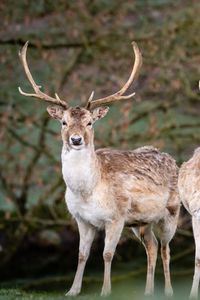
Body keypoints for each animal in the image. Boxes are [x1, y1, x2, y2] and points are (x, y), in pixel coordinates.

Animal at [18, 41, 180, 296]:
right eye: (63, 122)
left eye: (89, 122)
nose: (75, 140)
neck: (87, 191)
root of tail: (172, 159)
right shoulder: (82, 219)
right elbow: (82, 254)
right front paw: (72, 291)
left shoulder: (116, 217)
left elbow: (107, 254)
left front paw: (105, 291)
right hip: (141, 222)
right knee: (152, 247)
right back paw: (147, 292)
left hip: (171, 213)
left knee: (166, 249)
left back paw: (169, 291)